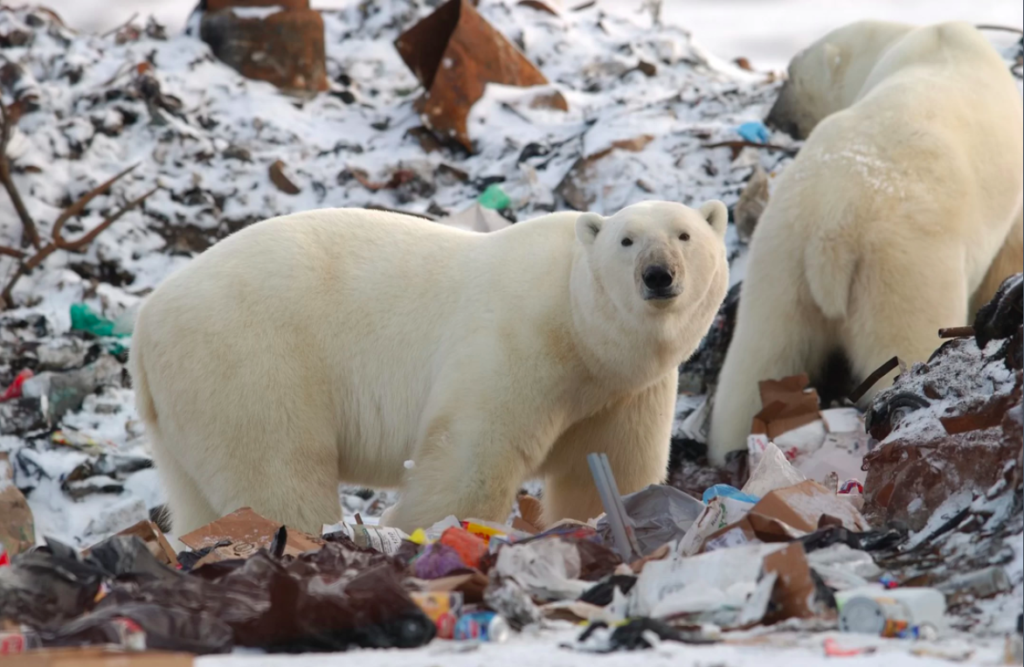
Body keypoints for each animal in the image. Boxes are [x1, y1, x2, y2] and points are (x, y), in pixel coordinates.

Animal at [130, 200, 730, 536]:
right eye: (626, 240)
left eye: (684, 235)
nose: (658, 275)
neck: (577, 324)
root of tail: (145, 322)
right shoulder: (515, 339)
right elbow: (472, 456)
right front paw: (421, 529)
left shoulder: (622, 390)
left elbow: (607, 469)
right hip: (248, 360)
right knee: (278, 468)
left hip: (186, 401)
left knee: (195, 492)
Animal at [708, 20, 1024, 464]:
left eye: (789, 75)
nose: (773, 118)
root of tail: (831, 233)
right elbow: (1007, 252)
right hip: (899, 269)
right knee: (901, 343)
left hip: (781, 262)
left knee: (756, 365)